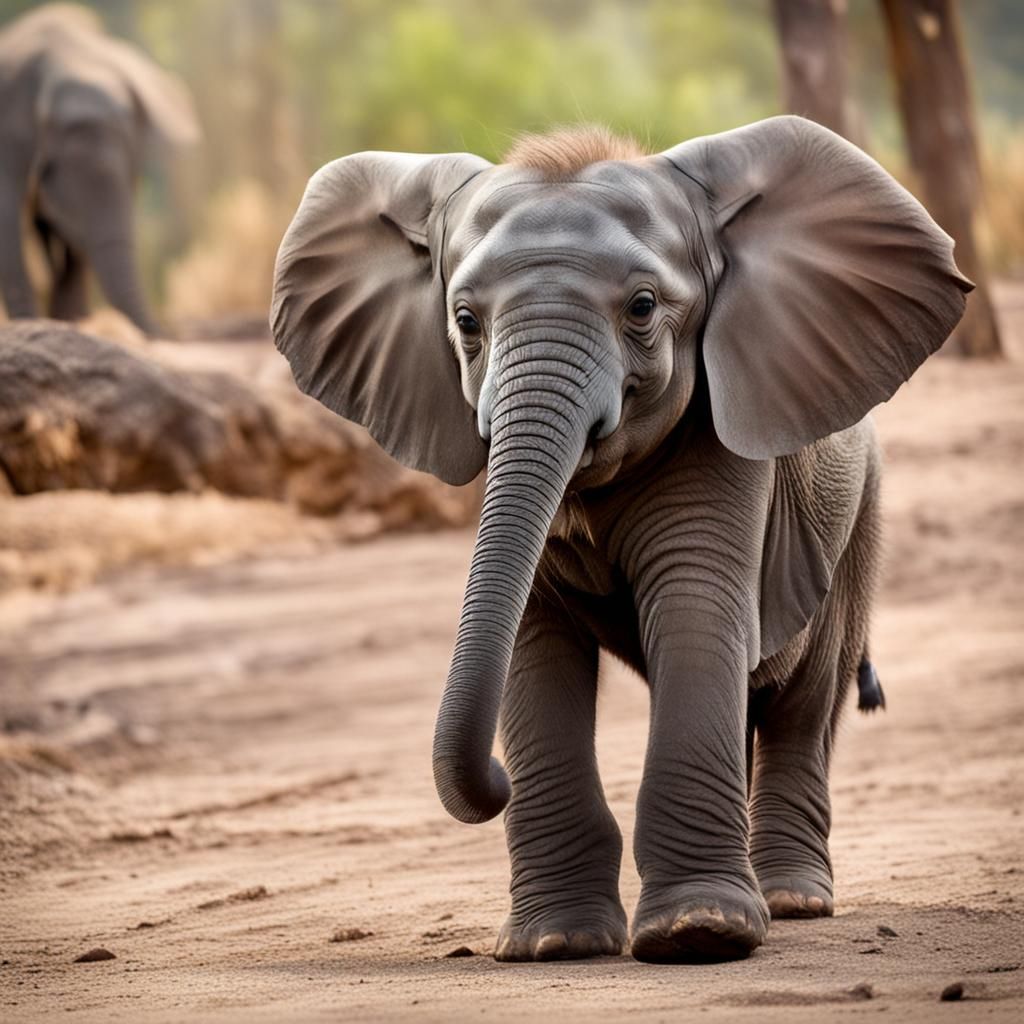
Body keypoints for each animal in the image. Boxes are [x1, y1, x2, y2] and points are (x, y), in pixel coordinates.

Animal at [270, 117, 970, 963]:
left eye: (641, 308)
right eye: (465, 322)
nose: (494, 780)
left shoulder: (718, 445)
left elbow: (695, 606)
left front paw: (699, 935)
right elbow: (531, 637)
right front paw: (555, 944)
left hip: (861, 514)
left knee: (806, 700)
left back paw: (792, 901)